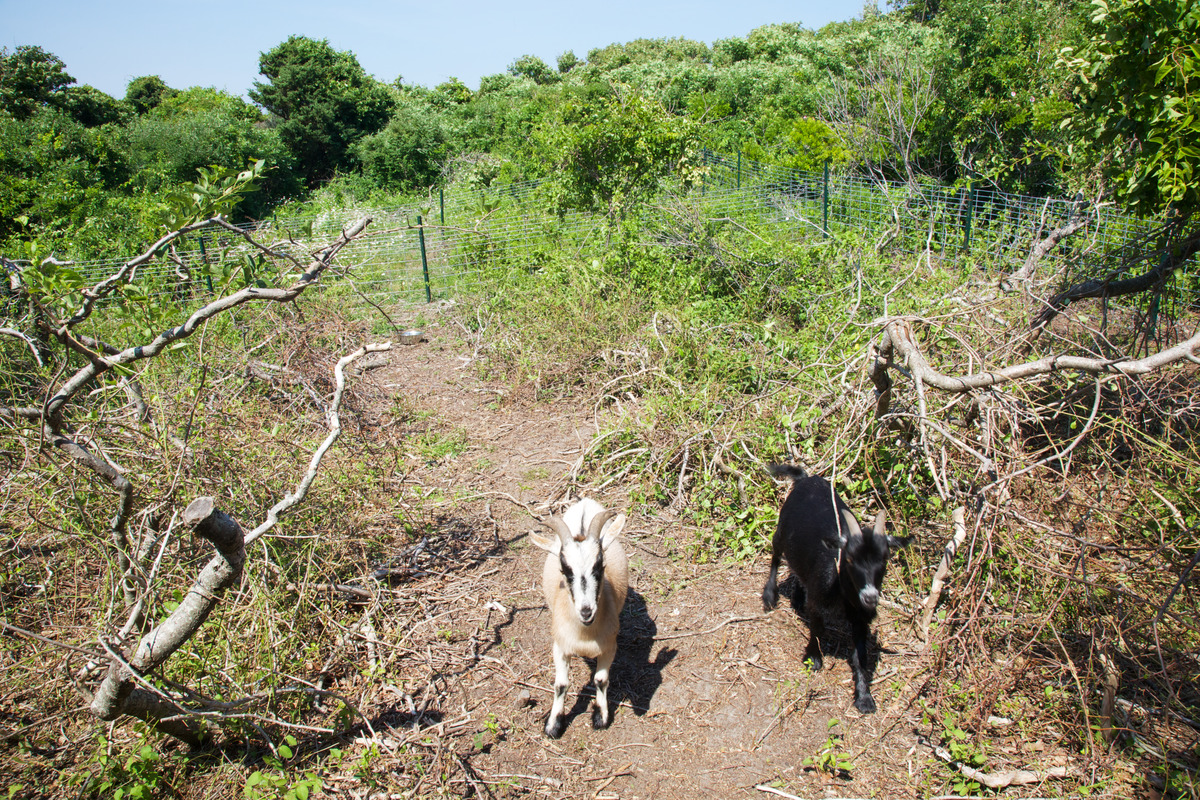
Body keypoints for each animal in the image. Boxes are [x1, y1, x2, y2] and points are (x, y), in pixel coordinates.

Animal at [532, 501, 633, 738]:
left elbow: (601, 680)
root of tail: (585, 502)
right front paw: (553, 725)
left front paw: (600, 717)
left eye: (600, 566)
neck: (585, 636)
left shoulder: (609, 647)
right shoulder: (560, 647)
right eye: (565, 570)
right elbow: (561, 684)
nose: (586, 611)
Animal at [763, 462, 902, 714]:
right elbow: (817, 629)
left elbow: (860, 656)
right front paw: (813, 659)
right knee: (776, 555)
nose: (870, 597)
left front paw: (864, 698)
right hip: (781, 530)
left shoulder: (861, 618)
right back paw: (769, 596)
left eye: (885, 559)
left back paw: (797, 597)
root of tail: (805, 478)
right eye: (849, 559)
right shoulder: (819, 602)